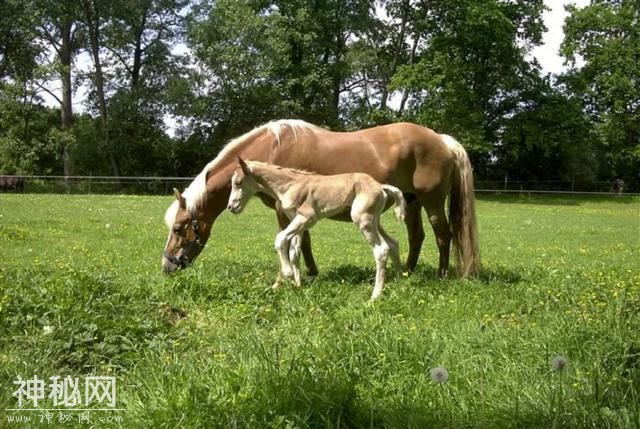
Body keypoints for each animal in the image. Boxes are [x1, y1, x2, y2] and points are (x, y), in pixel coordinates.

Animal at [162, 118, 478, 278]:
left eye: (178, 229)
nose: (167, 266)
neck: (270, 149)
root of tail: (442, 140)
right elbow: (304, 242)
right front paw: (311, 272)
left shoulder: (283, 210)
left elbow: (291, 241)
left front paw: (296, 274)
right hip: (411, 202)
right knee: (416, 236)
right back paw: (408, 272)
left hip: (432, 202)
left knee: (443, 235)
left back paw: (441, 275)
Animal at [225, 158, 404, 300]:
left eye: (238, 182)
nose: (231, 207)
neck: (289, 185)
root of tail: (380, 186)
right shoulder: (297, 222)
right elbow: (294, 252)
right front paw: (297, 285)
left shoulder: (306, 218)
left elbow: (280, 238)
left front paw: (288, 274)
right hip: (374, 221)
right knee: (393, 243)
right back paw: (399, 280)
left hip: (362, 220)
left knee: (381, 249)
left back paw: (375, 295)